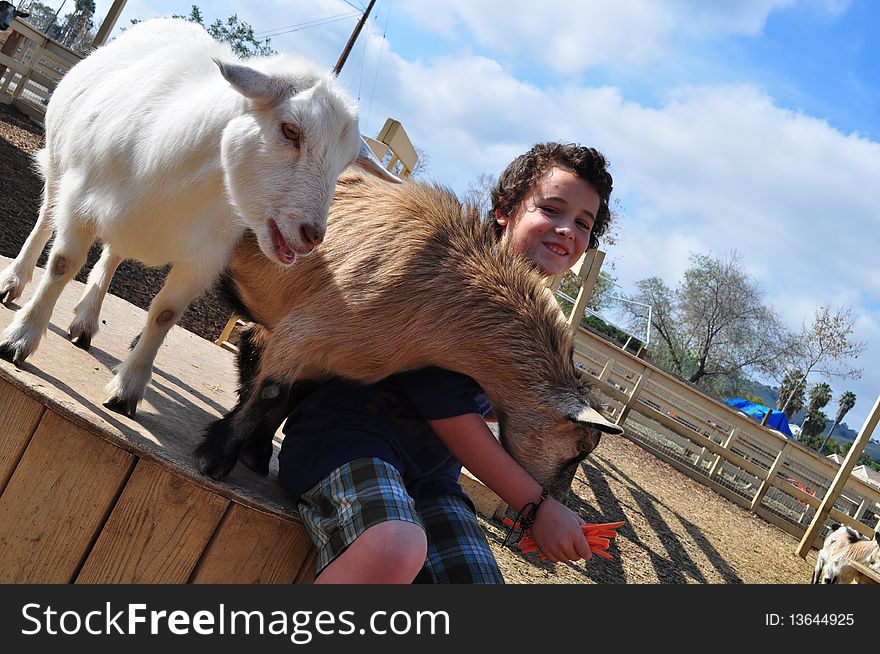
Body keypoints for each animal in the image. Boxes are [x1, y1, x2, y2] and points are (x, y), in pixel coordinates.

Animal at [0, 18, 394, 418]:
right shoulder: (79, 203)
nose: (312, 234)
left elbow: (165, 313)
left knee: (113, 254)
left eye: (344, 164)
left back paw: (86, 320)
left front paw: (127, 390)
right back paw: (14, 282)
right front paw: (20, 340)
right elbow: (62, 265)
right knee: (45, 219)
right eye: (290, 130)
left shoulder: (206, 256)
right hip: (59, 166)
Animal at [198, 170, 624, 502]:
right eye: (580, 449)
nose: (559, 499)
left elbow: (290, 398)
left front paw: (254, 453)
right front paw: (216, 456)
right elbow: (272, 393)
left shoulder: (330, 355)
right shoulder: (307, 330)